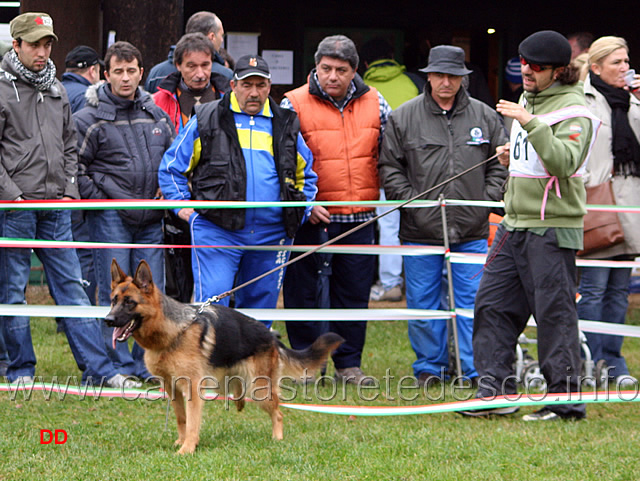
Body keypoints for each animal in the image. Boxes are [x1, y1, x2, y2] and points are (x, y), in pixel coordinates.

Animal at [106, 258, 344, 454]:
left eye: (129, 302)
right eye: (113, 300)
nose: (108, 320)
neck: (174, 332)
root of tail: (271, 335)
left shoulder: (192, 388)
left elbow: (192, 422)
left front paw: (187, 449)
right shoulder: (172, 387)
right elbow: (182, 419)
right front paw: (181, 442)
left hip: (259, 389)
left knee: (278, 413)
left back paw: (277, 438)